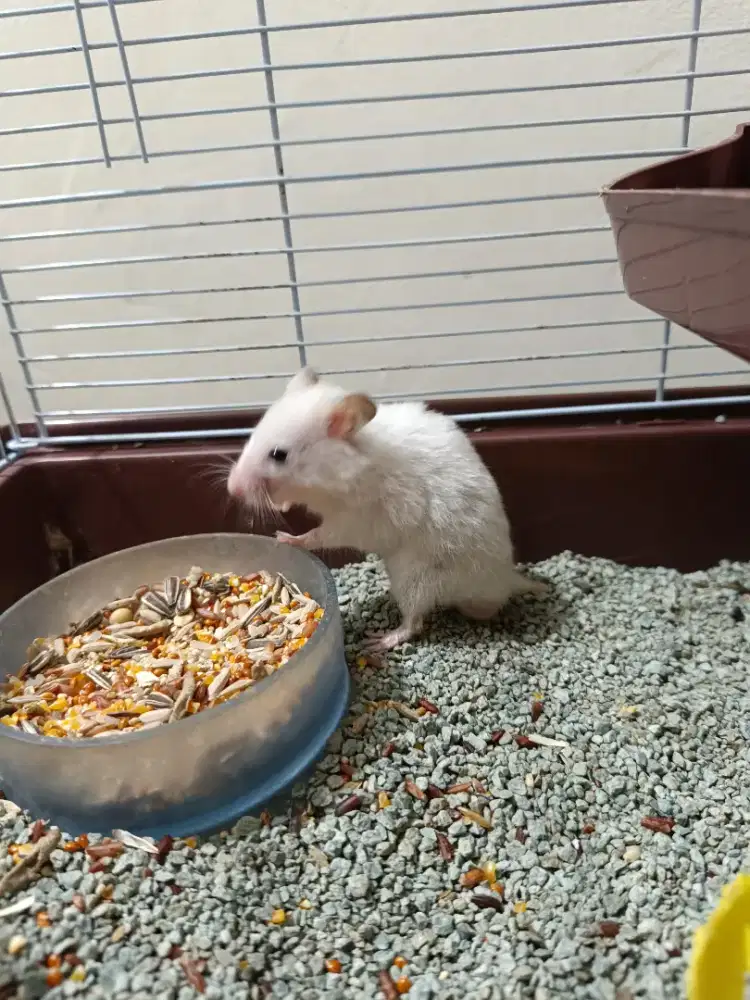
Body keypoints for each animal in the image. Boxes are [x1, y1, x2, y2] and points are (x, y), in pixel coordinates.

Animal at [227, 367, 544, 651]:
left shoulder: (354, 521)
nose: (232, 489)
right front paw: (281, 505)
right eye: (253, 436)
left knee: (415, 622)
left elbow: (318, 535)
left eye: (279, 455)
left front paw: (284, 537)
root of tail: (506, 580)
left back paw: (379, 642)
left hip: (416, 579)